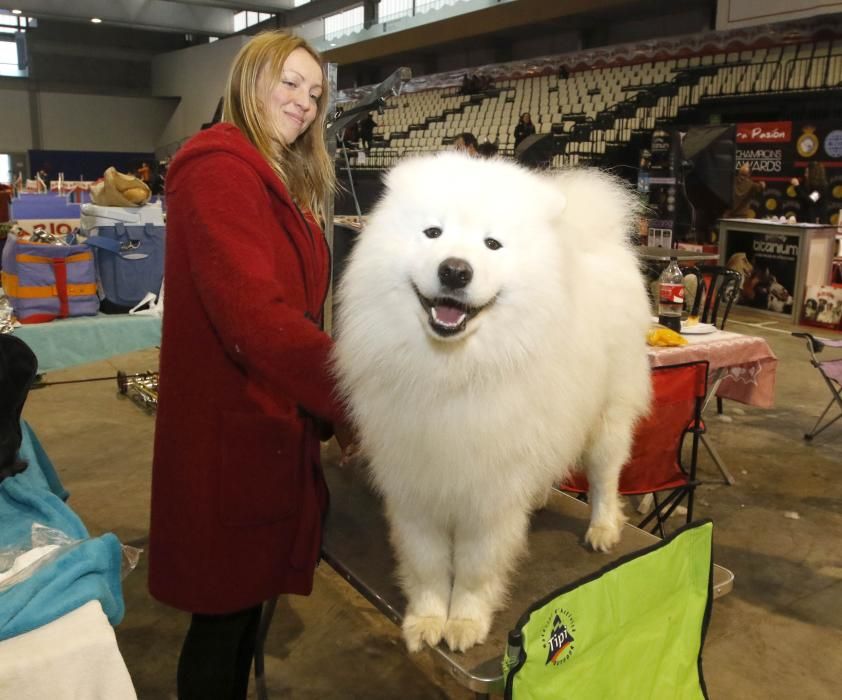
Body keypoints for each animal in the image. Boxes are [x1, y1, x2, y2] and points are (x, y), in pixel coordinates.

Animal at [332, 150, 652, 652]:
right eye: (433, 232)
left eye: (492, 244)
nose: (454, 270)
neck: (452, 369)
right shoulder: (414, 482)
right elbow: (426, 563)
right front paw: (426, 619)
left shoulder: (489, 492)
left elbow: (475, 568)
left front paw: (465, 621)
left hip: (607, 417)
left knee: (605, 477)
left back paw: (602, 528)